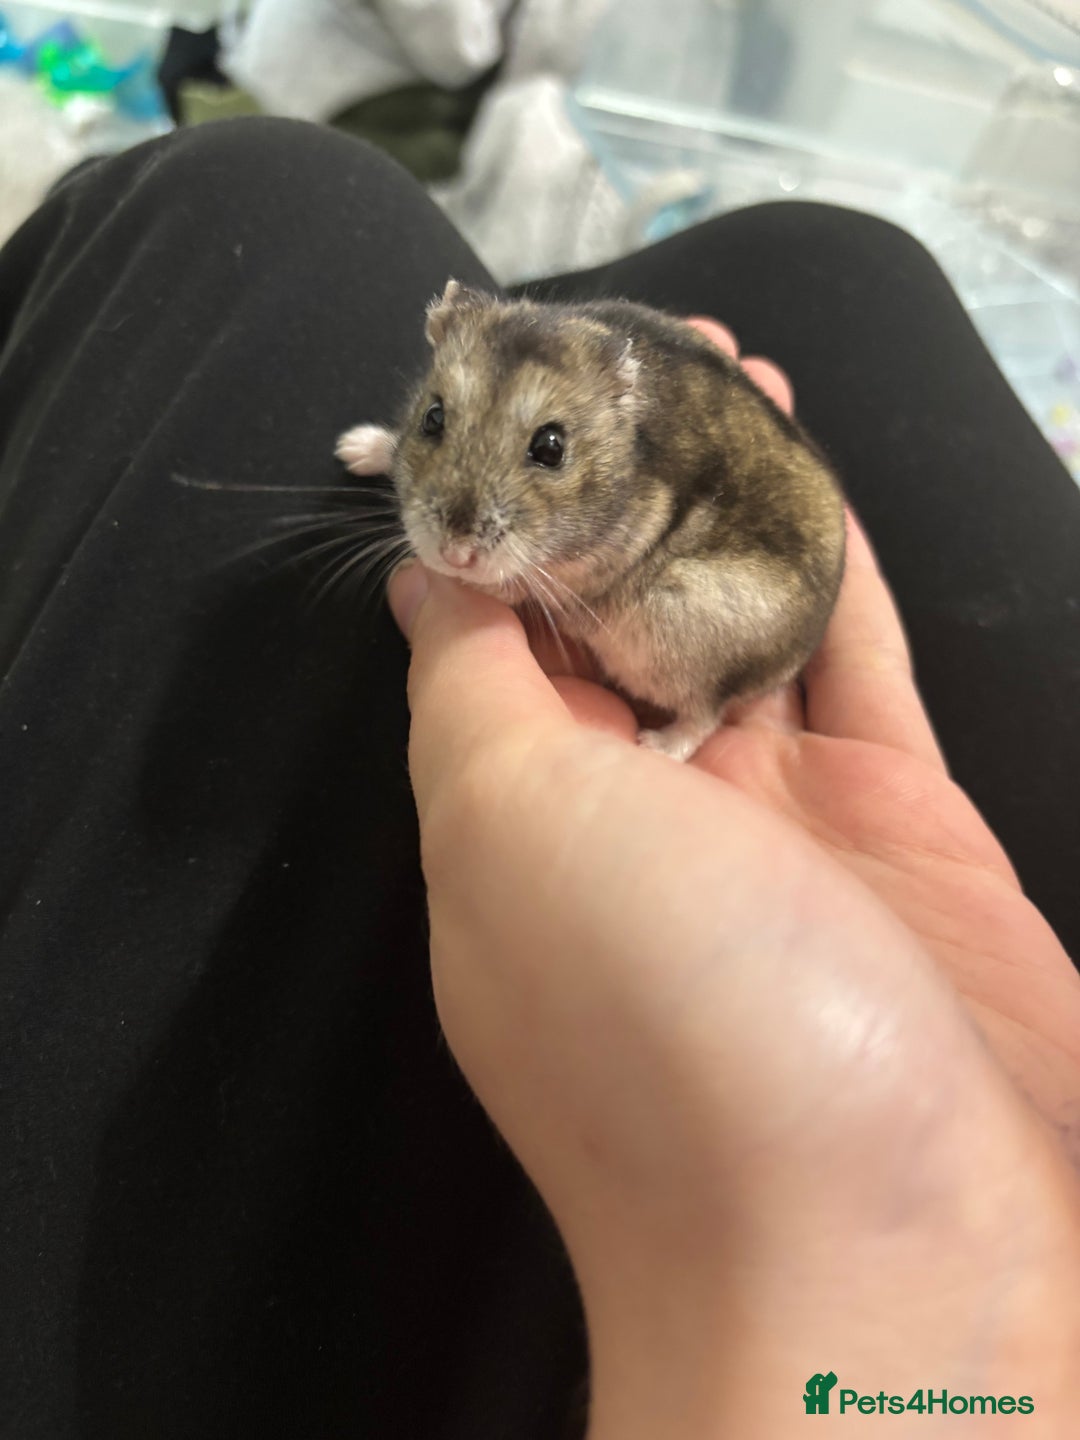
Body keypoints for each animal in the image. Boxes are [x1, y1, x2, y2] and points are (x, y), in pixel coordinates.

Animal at [336, 280, 846, 761]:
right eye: (433, 417)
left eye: (551, 447)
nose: (454, 553)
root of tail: (799, 655)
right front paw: (353, 447)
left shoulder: (573, 577)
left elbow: (514, 586)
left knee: (705, 716)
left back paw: (653, 746)